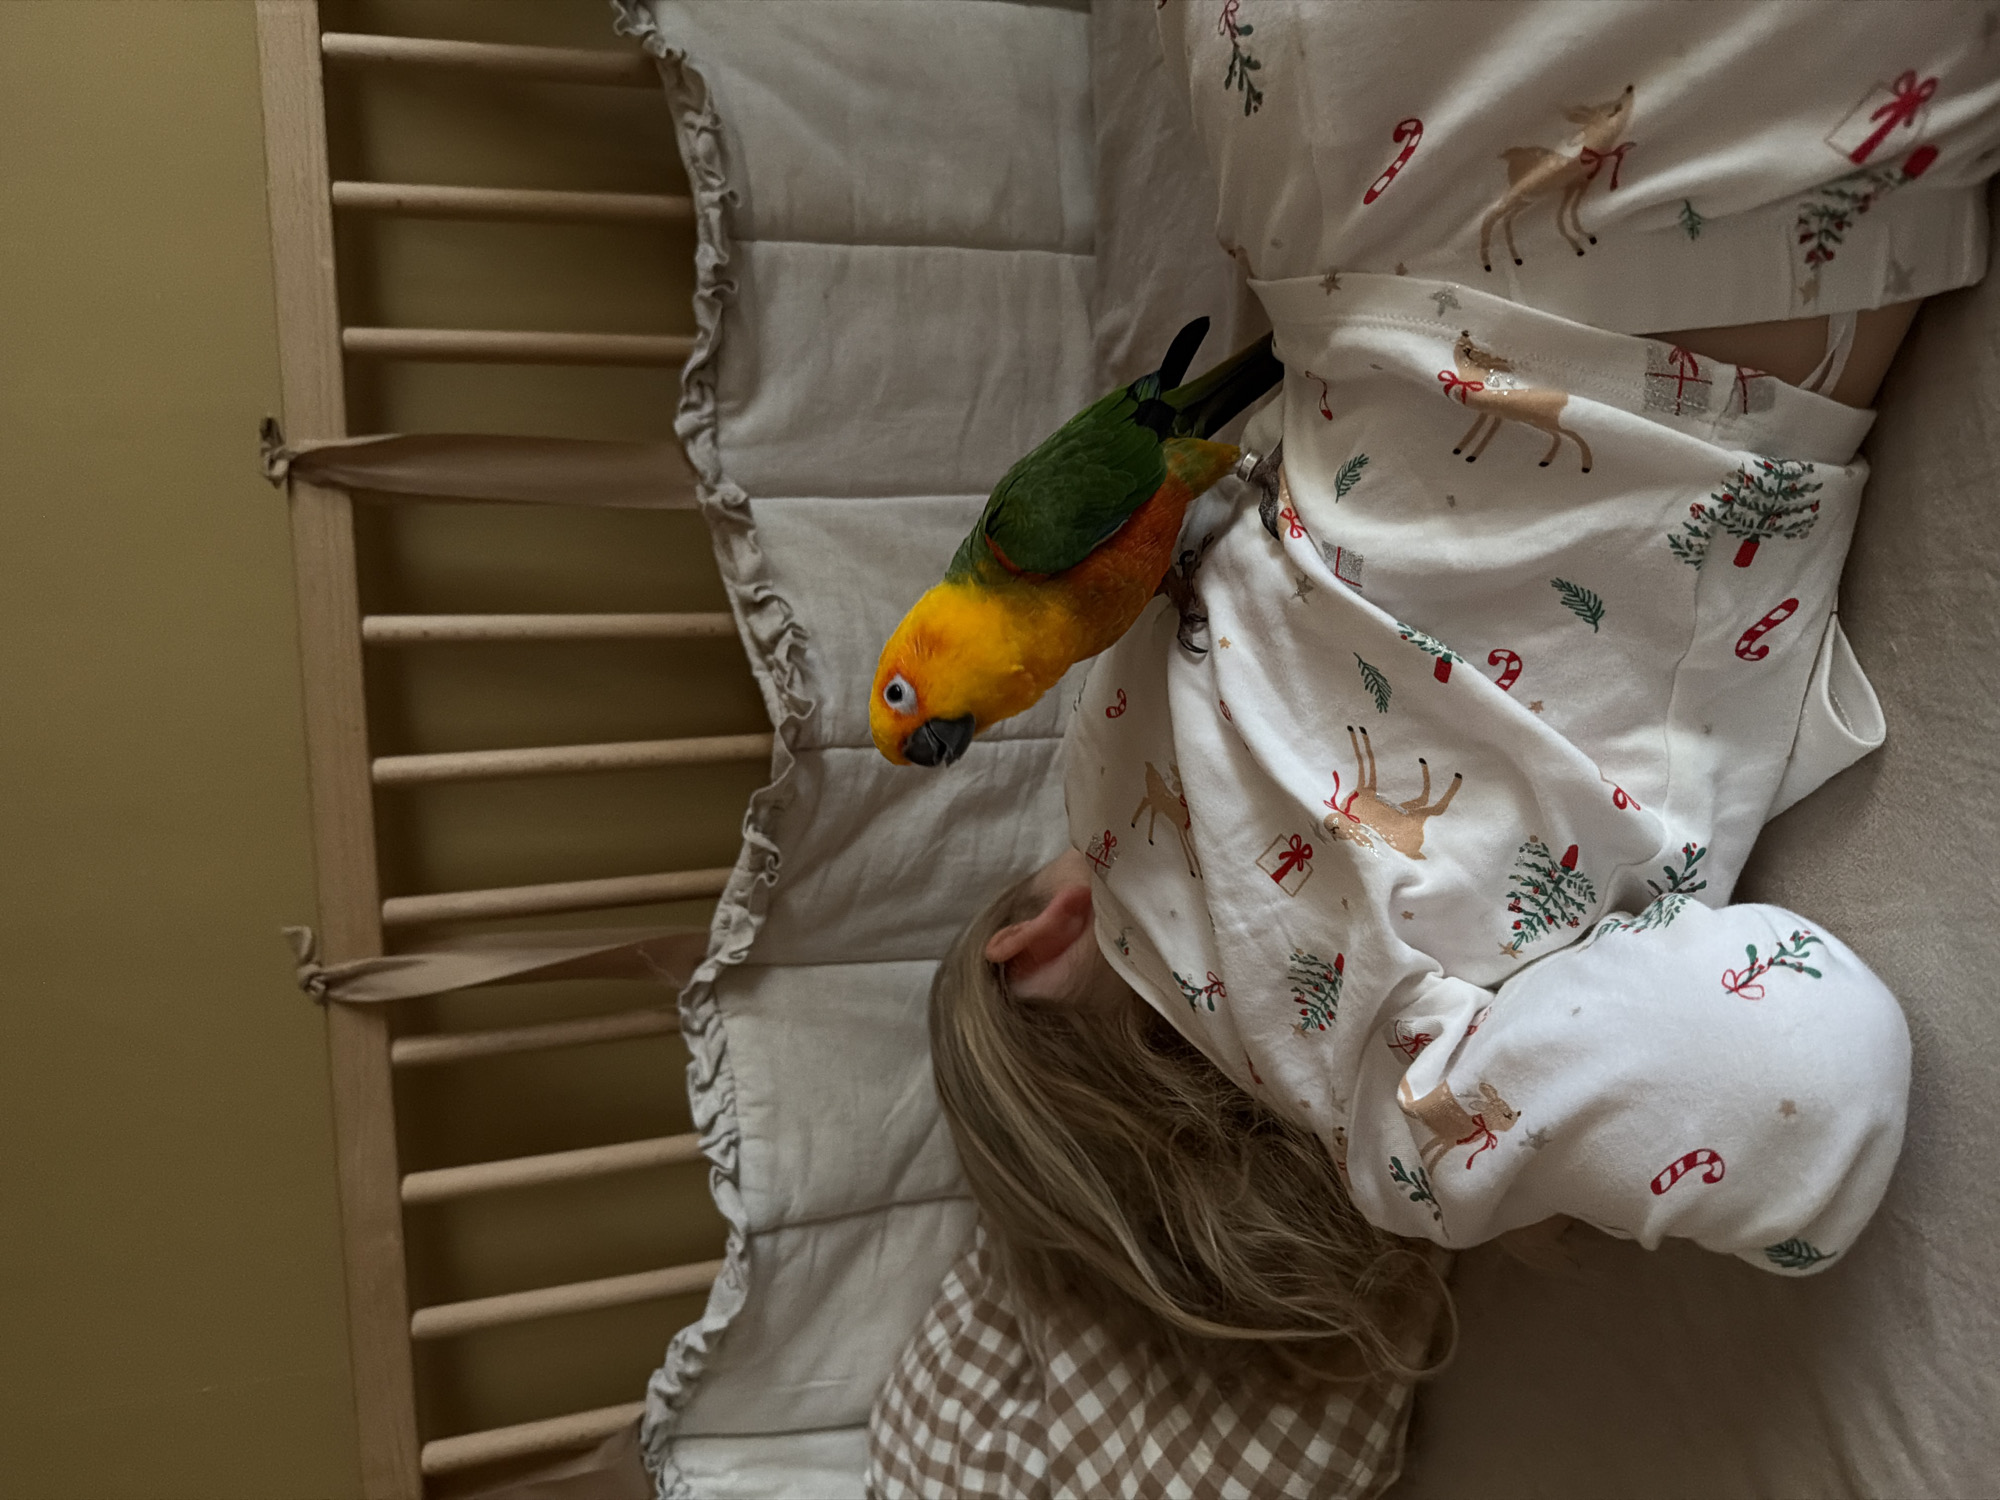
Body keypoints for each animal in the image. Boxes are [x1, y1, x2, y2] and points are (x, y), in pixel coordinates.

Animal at [1322, 725, 1462, 860]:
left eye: (1335, 827)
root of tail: (1415, 852)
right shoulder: (1366, 789)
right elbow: (1367, 762)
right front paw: (1357, 731)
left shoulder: (1367, 789)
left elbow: (1366, 759)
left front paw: (1358, 731)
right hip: (1415, 816)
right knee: (1435, 807)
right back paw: (1455, 776)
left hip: (1408, 811)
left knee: (1427, 803)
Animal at [1444, 331, 1594, 473]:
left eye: (1468, 349)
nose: (1465, 332)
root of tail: (1564, 396)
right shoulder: (1491, 414)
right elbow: (1483, 428)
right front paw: (1465, 451)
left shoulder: (1491, 413)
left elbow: (1483, 429)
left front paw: (1467, 453)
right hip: (1539, 423)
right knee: (1558, 437)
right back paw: (1546, 461)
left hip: (1547, 422)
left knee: (1572, 435)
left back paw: (1586, 465)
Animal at [1480, 86, 1635, 271]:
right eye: (1616, 108)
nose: (1630, 88)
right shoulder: (1576, 184)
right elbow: (1564, 216)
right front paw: (1581, 242)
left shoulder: (1577, 184)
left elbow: (1566, 215)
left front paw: (1583, 239)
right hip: (1518, 197)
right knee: (1490, 217)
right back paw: (1488, 264)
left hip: (1526, 201)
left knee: (1506, 219)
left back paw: (1516, 258)